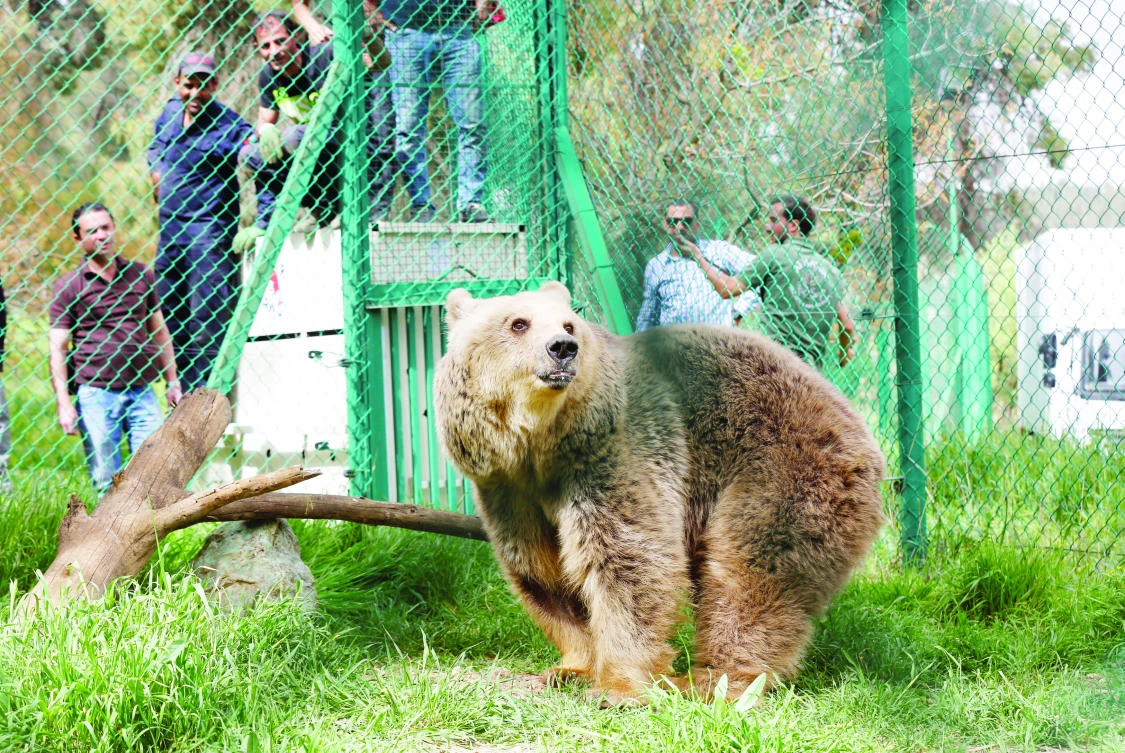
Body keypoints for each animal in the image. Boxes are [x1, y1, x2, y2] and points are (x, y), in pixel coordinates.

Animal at [434, 281, 886, 705]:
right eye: (518, 323)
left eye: (569, 324)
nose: (562, 348)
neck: (542, 444)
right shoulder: (509, 490)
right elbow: (544, 573)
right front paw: (571, 669)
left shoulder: (614, 456)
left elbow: (629, 562)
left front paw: (619, 687)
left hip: (783, 469)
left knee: (750, 574)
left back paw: (713, 680)